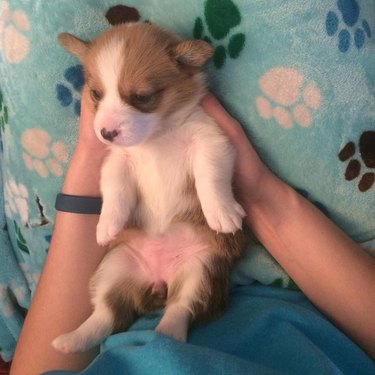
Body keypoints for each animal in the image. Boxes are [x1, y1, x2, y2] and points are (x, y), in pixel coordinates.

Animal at [53, 22, 247, 354]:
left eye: (141, 96)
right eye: (96, 94)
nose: (106, 132)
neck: (157, 135)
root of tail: (159, 280)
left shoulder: (210, 141)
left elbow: (210, 177)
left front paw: (221, 213)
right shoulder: (117, 162)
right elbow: (115, 192)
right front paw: (107, 224)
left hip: (201, 270)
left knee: (181, 307)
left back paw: (167, 336)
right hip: (114, 267)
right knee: (107, 315)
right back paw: (71, 340)